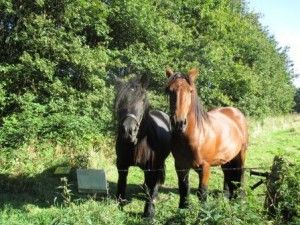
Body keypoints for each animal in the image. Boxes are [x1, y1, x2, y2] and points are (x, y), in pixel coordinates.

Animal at [115, 74, 171, 218]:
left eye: (142, 100)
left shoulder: (153, 166)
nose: (129, 131)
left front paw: (149, 214)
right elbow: (121, 184)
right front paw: (118, 205)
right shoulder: (122, 165)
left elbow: (152, 187)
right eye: (121, 101)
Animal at [165, 67, 247, 208]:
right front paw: (183, 210)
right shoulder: (180, 166)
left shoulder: (205, 167)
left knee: (240, 175)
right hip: (227, 159)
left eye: (190, 91)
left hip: (241, 154)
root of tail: (236, 112)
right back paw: (227, 197)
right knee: (228, 174)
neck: (195, 136)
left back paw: (239, 199)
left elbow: (202, 193)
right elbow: (183, 190)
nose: (179, 123)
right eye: (170, 91)